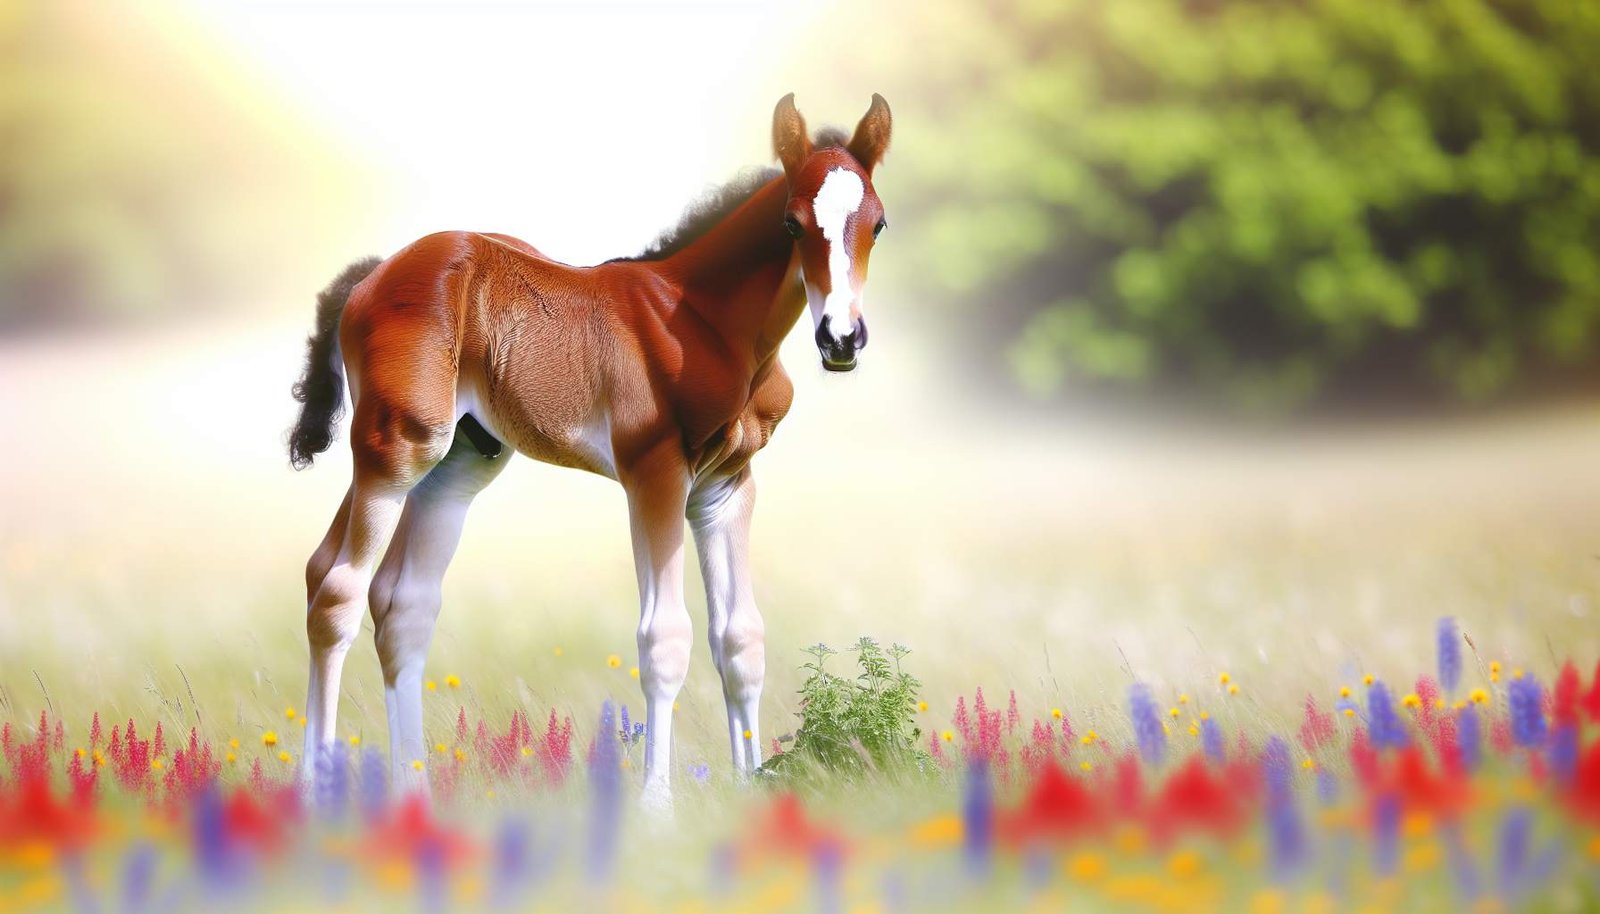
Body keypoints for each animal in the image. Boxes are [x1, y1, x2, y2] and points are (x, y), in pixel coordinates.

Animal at [286, 93, 892, 806]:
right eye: (793, 225)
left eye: (878, 224)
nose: (840, 339)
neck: (710, 325)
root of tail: (371, 276)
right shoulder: (655, 475)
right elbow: (664, 639)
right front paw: (656, 807)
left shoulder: (727, 487)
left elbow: (740, 640)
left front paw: (750, 791)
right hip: (395, 448)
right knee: (338, 591)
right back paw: (316, 794)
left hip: (454, 464)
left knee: (393, 600)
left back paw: (414, 792)